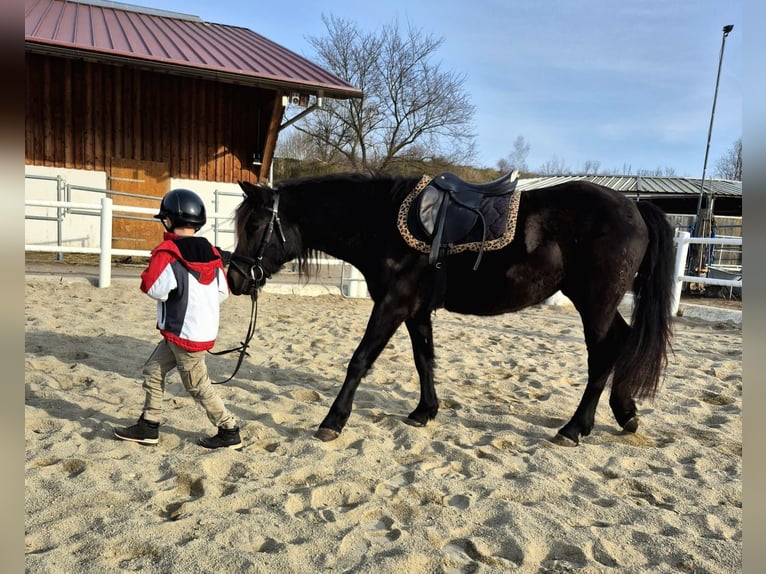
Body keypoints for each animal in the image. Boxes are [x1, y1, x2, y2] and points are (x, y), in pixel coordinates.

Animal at [228, 173, 672, 448]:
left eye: (254, 226)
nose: (235, 279)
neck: (380, 224)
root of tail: (635, 208)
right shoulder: (415, 309)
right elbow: (424, 359)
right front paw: (425, 411)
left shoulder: (392, 304)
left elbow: (360, 360)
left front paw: (332, 421)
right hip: (600, 304)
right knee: (620, 343)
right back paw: (625, 413)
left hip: (594, 303)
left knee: (603, 355)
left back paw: (575, 428)